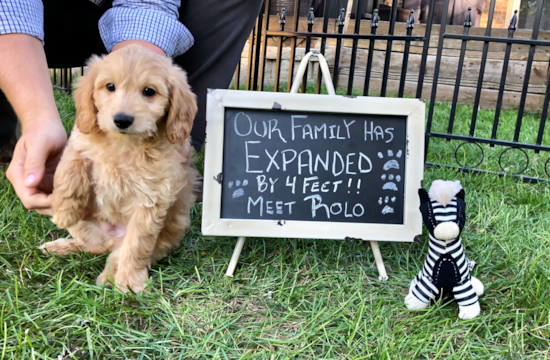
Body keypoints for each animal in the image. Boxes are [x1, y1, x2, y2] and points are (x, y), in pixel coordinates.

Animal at [41, 44, 201, 292]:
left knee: (116, 254)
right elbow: (71, 166)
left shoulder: (152, 197)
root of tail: (112, 238)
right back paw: (62, 246)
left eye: (149, 91)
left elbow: (136, 246)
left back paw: (108, 278)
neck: (123, 144)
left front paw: (129, 284)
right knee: (94, 246)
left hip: (162, 239)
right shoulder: (80, 139)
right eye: (110, 87)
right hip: (87, 229)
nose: (122, 120)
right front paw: (64, 210)